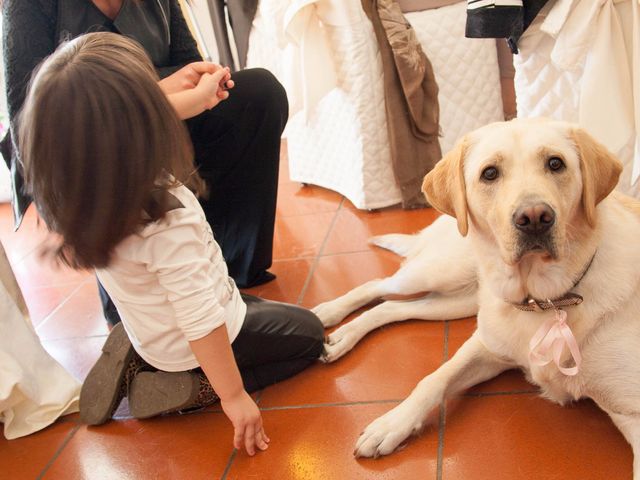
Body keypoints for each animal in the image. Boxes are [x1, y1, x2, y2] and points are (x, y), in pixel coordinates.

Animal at [312, 118, 640, 474]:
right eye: (490, 173)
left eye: (556, 163)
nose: (534, 217)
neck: (546, 301)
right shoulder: (485, 345)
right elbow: (434, 378)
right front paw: (391, 424)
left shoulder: (632, 413)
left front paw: (393, 424)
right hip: (444, 271)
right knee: (377, 285)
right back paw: (328, 316)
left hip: (459, 301)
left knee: (392, 308)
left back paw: (340, 336)